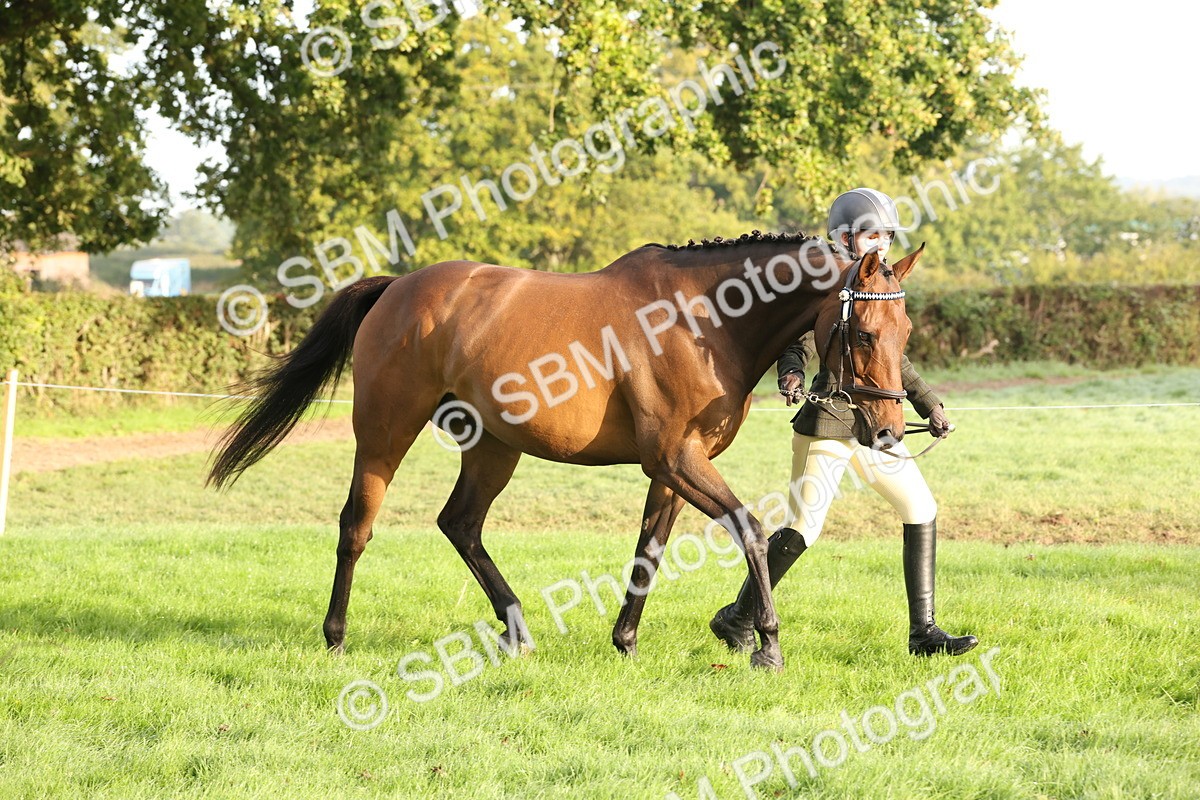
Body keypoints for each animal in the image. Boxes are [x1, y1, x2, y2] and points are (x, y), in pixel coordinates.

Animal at [207, 231, 923, 670]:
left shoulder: (673, 468)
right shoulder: (676, 460)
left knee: (459, 524)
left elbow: (649, 550)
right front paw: (765, 645)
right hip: (385, 432)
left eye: (907, 328)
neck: (704, 319)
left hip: (493, 446)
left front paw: (626, 642)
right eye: (863, 331)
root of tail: (397, 288)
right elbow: (749, 528)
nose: (889, 429)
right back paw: (335, 637)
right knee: (357, 525)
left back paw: (517, 630)